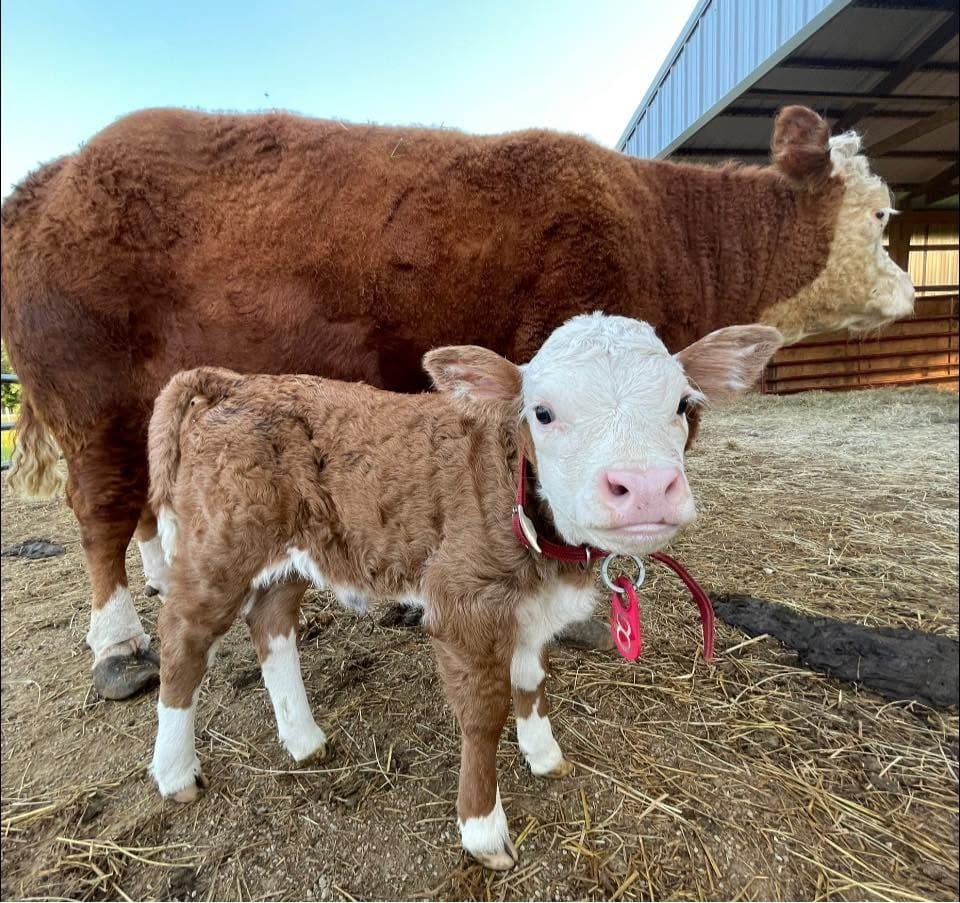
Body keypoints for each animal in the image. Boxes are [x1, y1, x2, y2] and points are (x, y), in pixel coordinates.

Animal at [1, 104, 913, 700]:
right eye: (881, 213)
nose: (910, 289)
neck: (668, 228)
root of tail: (55, 174)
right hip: (90, 391)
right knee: (102, 510)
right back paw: (118, 645)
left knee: (144, 502)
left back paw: (160, 578)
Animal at [146, 313, 783, 869]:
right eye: (542, 412)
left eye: (682, 405)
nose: (646, 486)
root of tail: (237, 381)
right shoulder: (461, 604)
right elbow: (484, 715)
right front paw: (482, 829)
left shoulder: (531, 610)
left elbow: (531, 680)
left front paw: (543, 755)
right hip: (219, 543)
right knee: (183, 639)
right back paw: (175, 772)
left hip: (291, 552)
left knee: (271, 624)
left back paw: (303, 739)